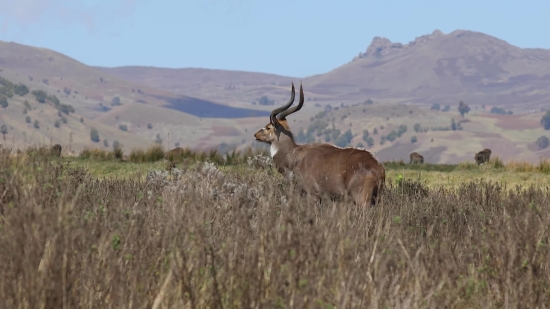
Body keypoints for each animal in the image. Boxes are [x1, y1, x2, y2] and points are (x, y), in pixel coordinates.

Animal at [256, 83, 388, 206]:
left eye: (268, 127)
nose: (255, 135)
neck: (296, 157)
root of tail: (378, 168)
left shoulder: (313, 194)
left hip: (361, 199)